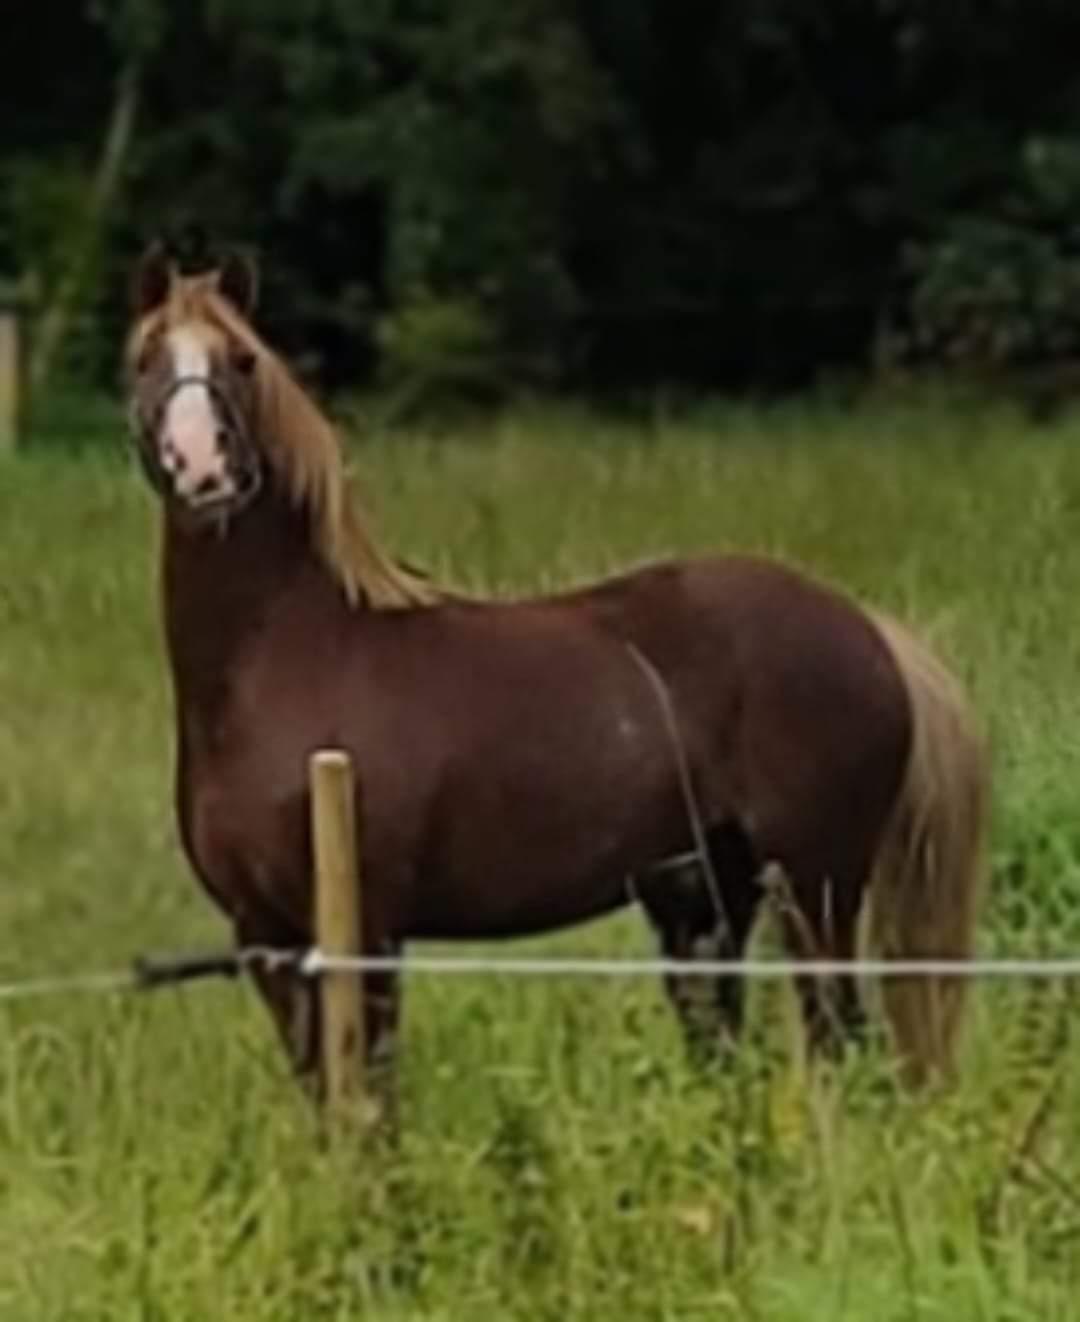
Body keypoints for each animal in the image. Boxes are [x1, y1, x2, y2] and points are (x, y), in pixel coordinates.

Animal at [124, 242, 988, 1113]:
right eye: (143, 360)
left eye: (241, 360)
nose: (203, 468)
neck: (287, 663)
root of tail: (871, 628)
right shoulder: (265, 938)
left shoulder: (367, 934)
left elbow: (371, 1098)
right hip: (709, 903)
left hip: (815, 889)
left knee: (843, 1041)